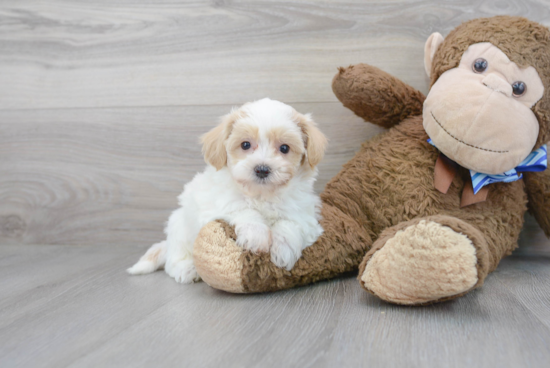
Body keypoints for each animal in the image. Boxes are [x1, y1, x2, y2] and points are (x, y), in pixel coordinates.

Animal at [126, 97, 328, 282]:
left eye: (284, 148)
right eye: (245, 144)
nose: (262, 169)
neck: (261, 194)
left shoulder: (305, 214)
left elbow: (291, 223)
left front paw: (284, 251)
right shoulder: (217, 205)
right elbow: (242, 209)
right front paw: (257, 236)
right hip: (180, 228)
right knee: (173, 260)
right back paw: (187, 268)